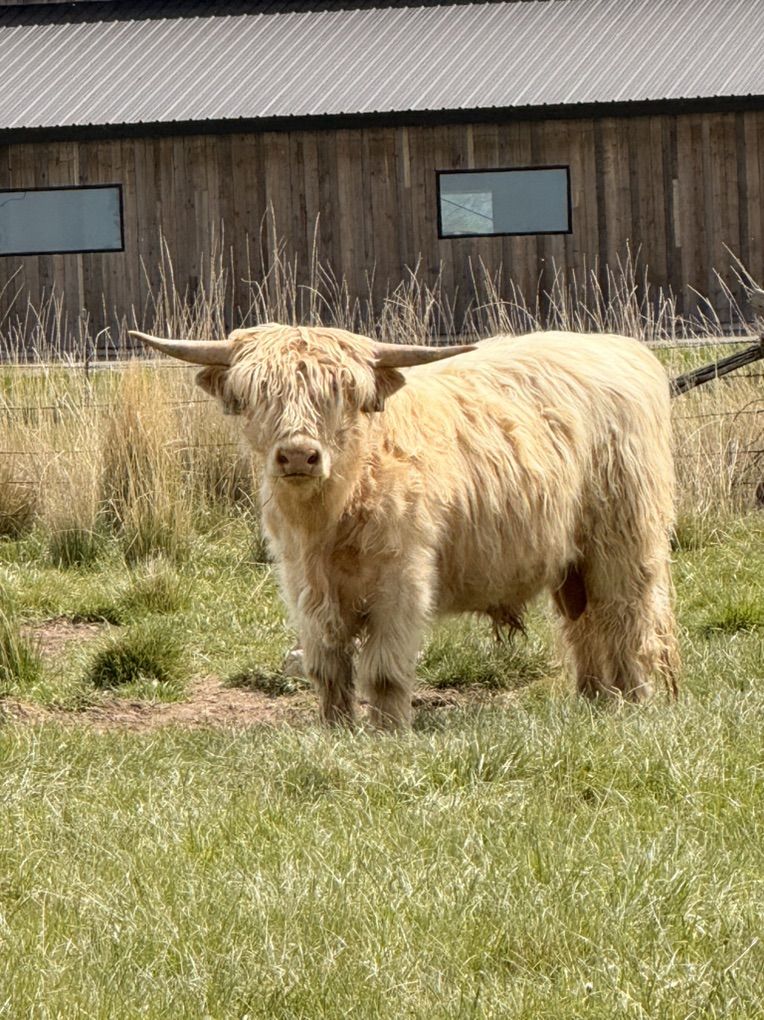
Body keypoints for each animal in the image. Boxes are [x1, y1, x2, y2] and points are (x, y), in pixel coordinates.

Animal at [130, 324, 679, 728]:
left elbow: (384, 668)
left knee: (628, 620)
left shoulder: (401, 581)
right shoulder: (304, 585)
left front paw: (389, 732)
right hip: (574, 563)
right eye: (256, 395)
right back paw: (594, 701)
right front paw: (336, 729)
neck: (331, 516)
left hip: (624, 540)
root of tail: (622, 349)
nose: (298, 455)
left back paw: (635, 703)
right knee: (585, 624)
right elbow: (328, 666)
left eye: (341, 395)